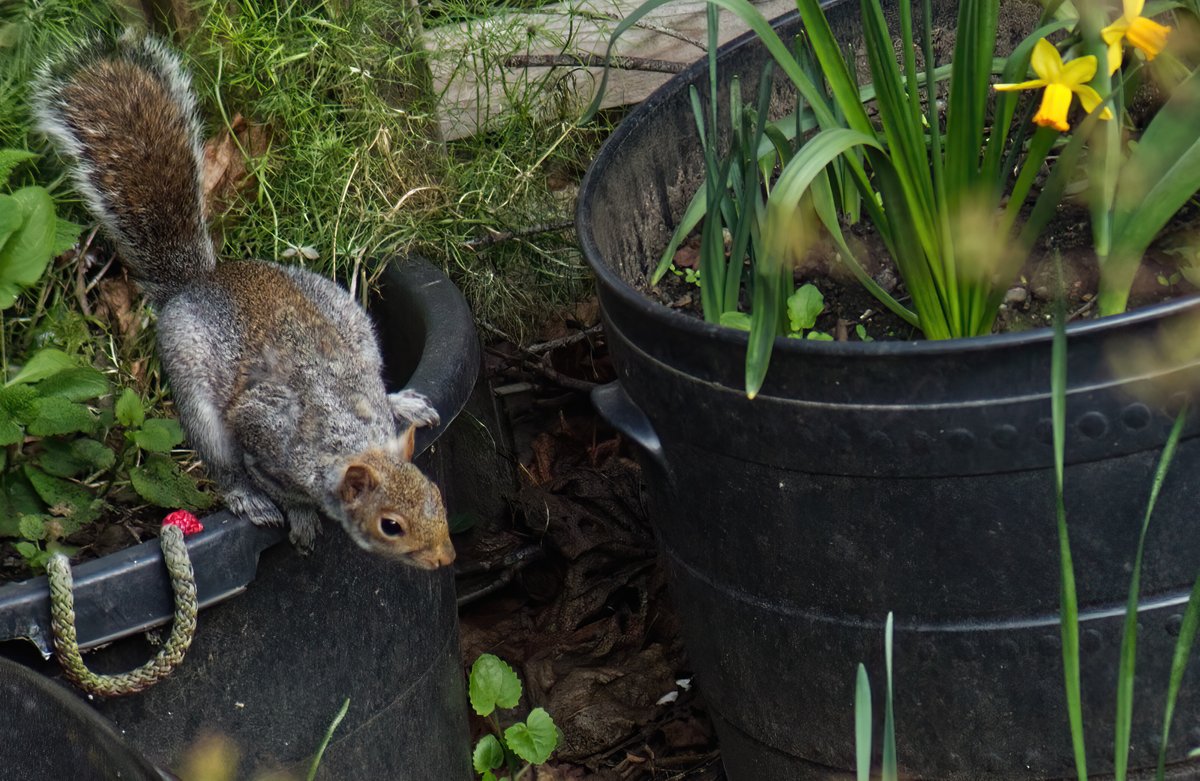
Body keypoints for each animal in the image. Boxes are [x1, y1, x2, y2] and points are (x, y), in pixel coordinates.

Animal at [32, 35, 456, 570]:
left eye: (436, 496)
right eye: (390, 525)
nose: (446, 558)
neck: (347, 437)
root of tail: (198, 283)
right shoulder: (263, 433)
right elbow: (282, 487)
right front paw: (301, 518)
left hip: (347, 316)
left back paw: (403, 402)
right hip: (195, 395)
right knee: (222, 466)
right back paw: (246, 498)